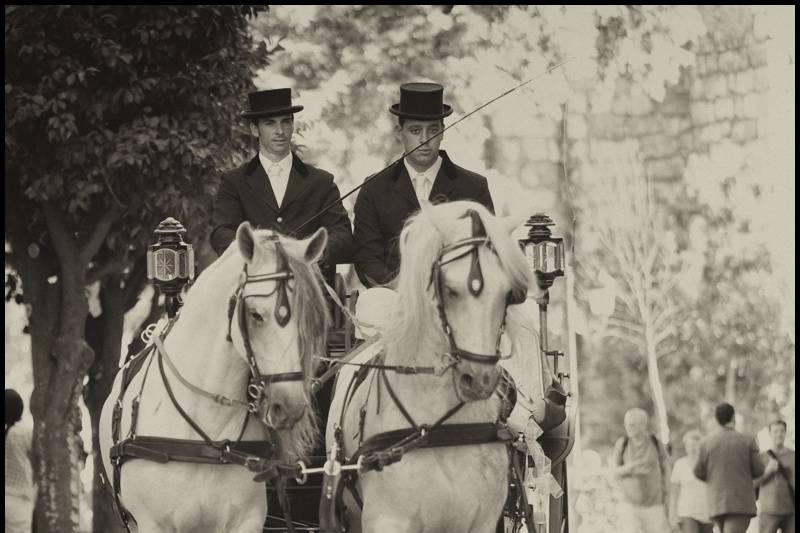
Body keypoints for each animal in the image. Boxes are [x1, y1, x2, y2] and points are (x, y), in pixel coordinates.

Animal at [101, 222, 332, 528]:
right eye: (255, 315)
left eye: (310, 318)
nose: (290, 406)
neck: (207, 431)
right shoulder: (153, 524)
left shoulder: (247, 521)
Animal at [326, 201, 544, 532]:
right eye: (449, 289)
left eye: (510, 294)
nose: (478, 379)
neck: (439, 426)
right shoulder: (387, 519)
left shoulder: (481, 520)